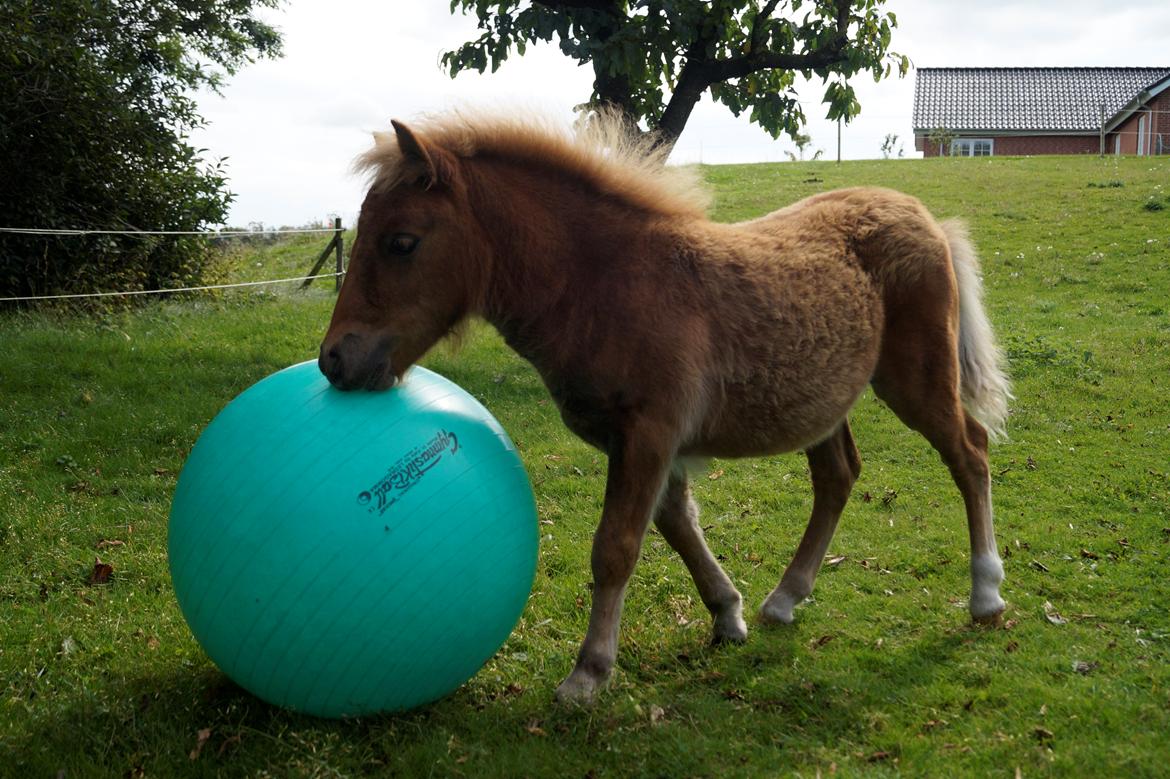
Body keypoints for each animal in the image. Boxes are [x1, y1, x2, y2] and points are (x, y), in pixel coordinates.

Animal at [320, 110, 1015, 701]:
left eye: (402, 242)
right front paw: (728, 615)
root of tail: (926, 217)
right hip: (824, 401)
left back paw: (985, 594)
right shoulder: (643, 441)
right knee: (839, 476)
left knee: (970, 453)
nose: (335, 361)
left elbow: (617, 545)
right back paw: (785, 599)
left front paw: (589, 672)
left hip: (916, 380)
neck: (603, 282)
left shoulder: (649, 432)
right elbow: (677, 524)